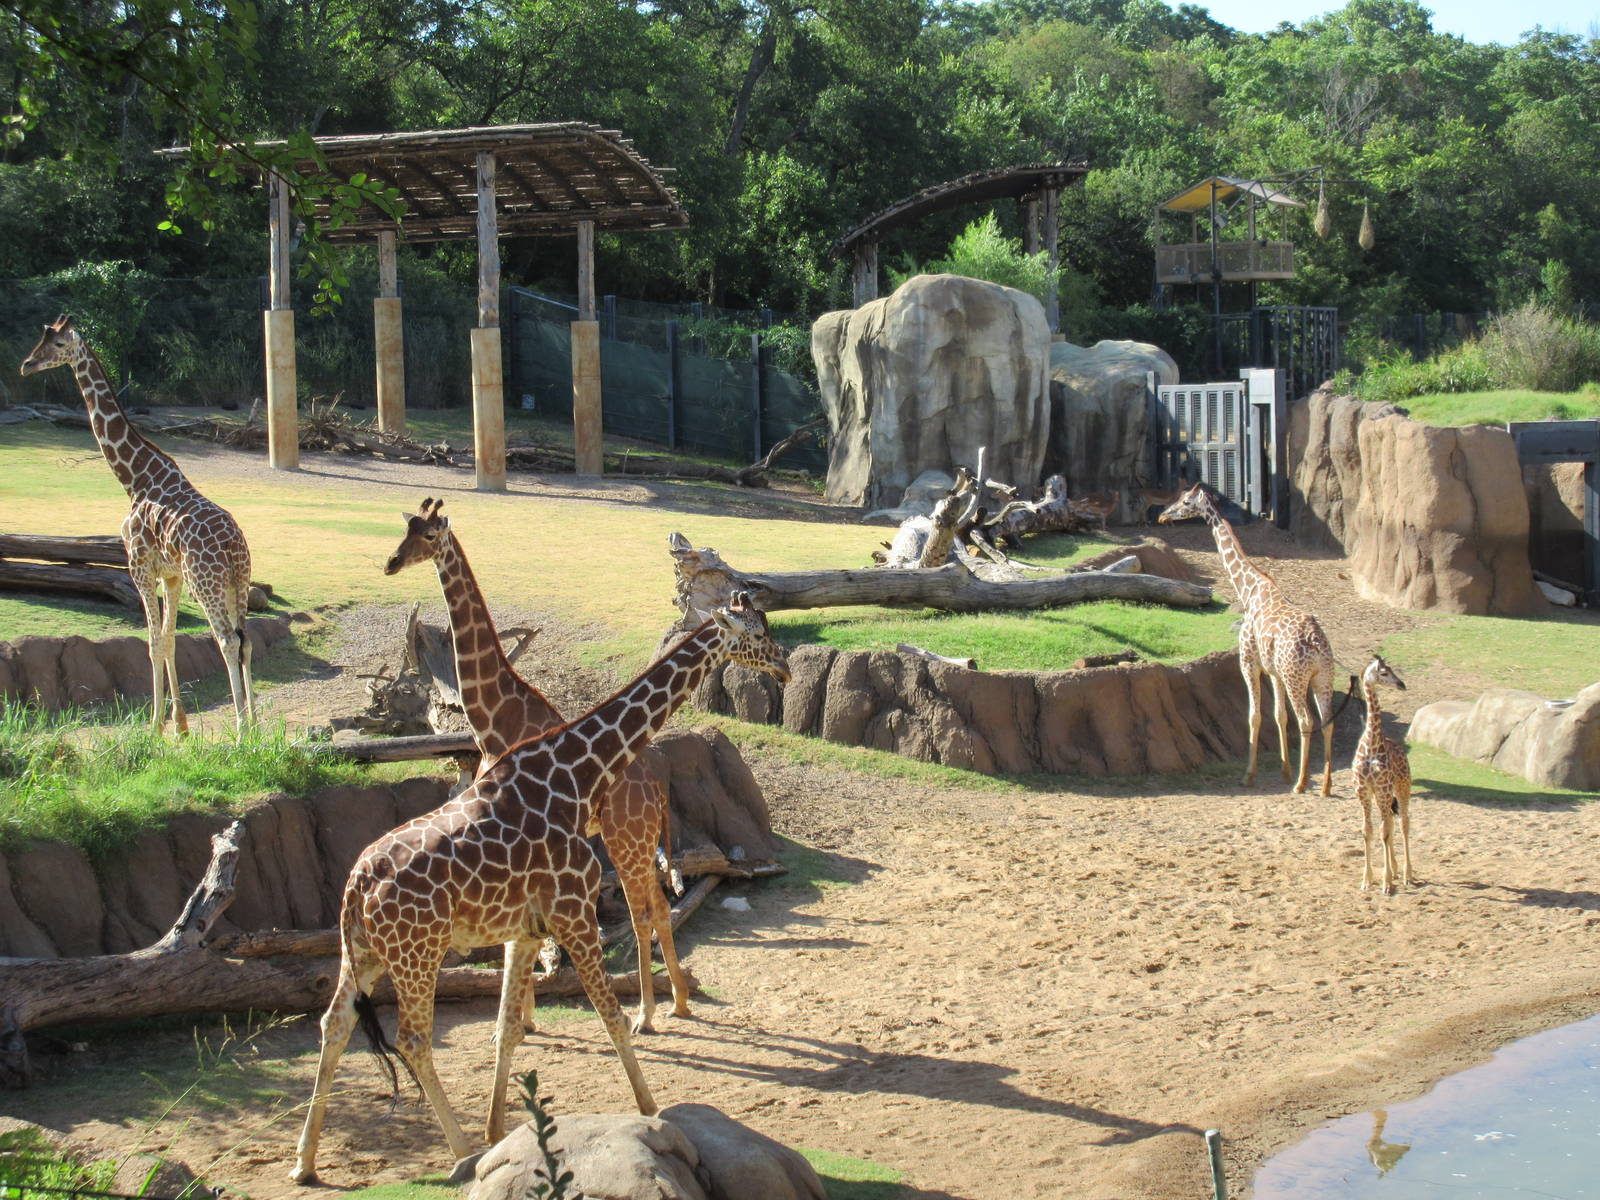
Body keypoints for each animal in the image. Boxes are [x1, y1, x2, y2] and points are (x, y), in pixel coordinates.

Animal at [19, 315, 255, 733]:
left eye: (59, 345)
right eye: (41, 338)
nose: (27, 365)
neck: (135, 478)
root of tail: (232, 544)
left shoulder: (139, 567)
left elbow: (153, 642)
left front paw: (155, 726)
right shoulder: (172, 575)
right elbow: (170, 638)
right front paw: (180, 726)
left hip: (206, 583)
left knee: (227, 640)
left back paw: (242, 732)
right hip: (236, 581)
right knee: (246, 639)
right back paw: (257, 725)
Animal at [289, 592, 791, 1184]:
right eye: (756, 633)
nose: (783, 666)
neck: (577, 774)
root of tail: (355, 887)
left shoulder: (527, 930)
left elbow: (508, 1026)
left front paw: (497, 1129)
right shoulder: (573, 911)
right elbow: (610, 1016)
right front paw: (651, 1110)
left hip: (362, 953)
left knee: (334, 1023)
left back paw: (305, 1163)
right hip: (418, 954)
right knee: (412, 1038)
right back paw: (460, 1152)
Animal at [384, 497, 692, 1035]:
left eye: (429, 536)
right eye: (406, 528)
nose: (391, 563)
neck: (493, 715)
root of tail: (656, 788)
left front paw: (518, 1022)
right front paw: (522, 1019)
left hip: (624, 840)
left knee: (644, 912)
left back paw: (646, 1014)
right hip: (641, 840)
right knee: (657, 905)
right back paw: (678, 1002)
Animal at [1158, 482, 1337, 795]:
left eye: (1185, 501)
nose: (1163, 515)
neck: (1249, 588)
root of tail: (1317, 644)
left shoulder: (1249, 663)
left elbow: (1254, 716)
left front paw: (1249, 775)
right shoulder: (1274, 672)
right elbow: (1279, 716)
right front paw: (1284, 771)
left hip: (1297, 677)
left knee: (1307, 720)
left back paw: (1302, 784)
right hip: (1322, 677)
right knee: (1327, 722)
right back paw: (1325, 786)